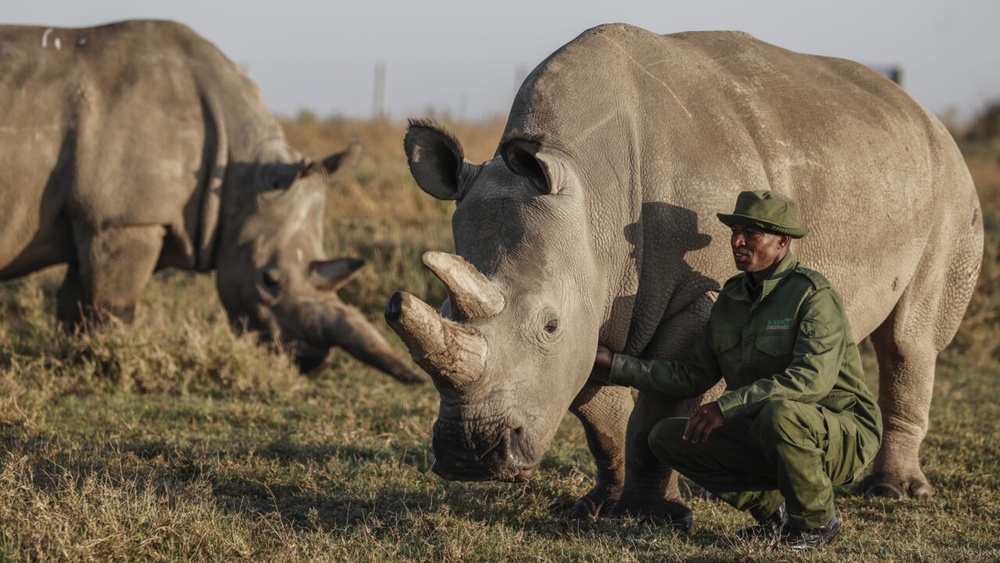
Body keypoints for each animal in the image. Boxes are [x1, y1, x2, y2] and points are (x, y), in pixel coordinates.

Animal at [0, 19, 425, 384]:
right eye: (270, 280)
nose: (310, 361)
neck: (238, 174)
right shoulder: (127, 219)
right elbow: (112, 305)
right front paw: (105, 363)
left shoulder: (97, 218)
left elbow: (76, 303)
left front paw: (76, 357)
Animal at [387, 23, 984, 523]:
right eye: (439, 307)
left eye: (548, 324)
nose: (470, 455)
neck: (591, 192)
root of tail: (925, 114)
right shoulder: (590, 305)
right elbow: (599, 411)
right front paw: (599, 507)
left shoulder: (697, 296)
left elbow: (658, 411)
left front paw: (654, 516)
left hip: (951, 185)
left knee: (908, 340)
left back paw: (893, 492)